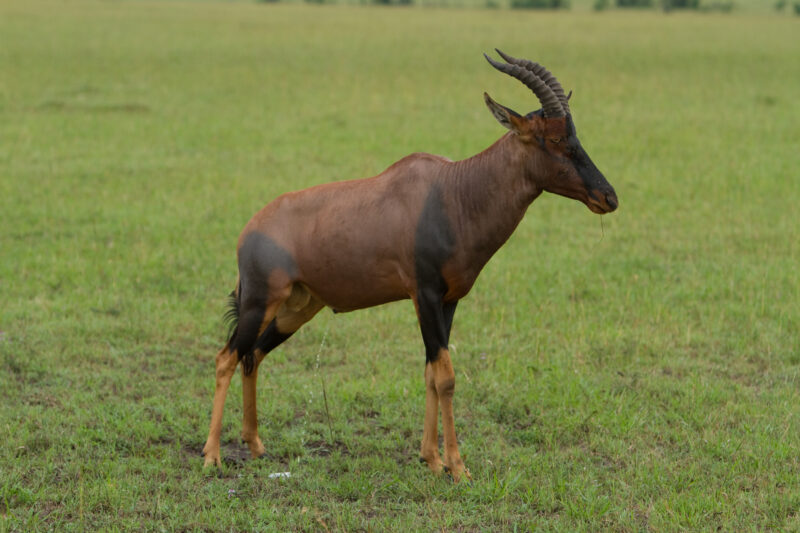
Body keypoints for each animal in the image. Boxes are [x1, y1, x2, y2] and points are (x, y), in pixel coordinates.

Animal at [202, 50, 618, 482]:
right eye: (554, 140)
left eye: (575, 136)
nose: (608, 197)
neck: (454, 191)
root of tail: (250, 229)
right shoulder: (426, 294)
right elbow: (447, 377)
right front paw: (458, 467)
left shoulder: (449, 301)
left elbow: (431, 374)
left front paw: (431, 459)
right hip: (258, 301)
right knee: (226, 357)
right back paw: (212, 456)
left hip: (295, 310)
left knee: (253, 355)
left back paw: (255, 444)